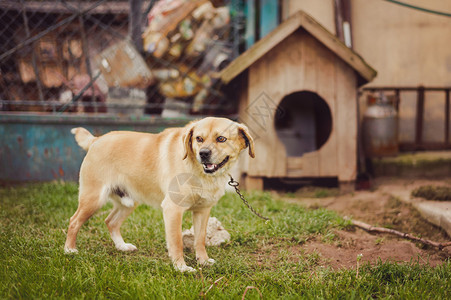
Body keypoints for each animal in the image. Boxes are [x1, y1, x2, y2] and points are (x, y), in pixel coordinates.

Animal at [63, 116, 254, 272]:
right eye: (199, 139)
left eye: (221, 139)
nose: (204, 154)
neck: (199, 173)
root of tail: (97, 139)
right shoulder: (173, 209)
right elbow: (176, 241)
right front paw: (181, 268)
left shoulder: (202, 211)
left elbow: (199, 240)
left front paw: (203, 261)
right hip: (93, 200)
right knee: (74, 221)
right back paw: (69, 250)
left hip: (128, 202)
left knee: (110, 221)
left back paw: (122, 246)